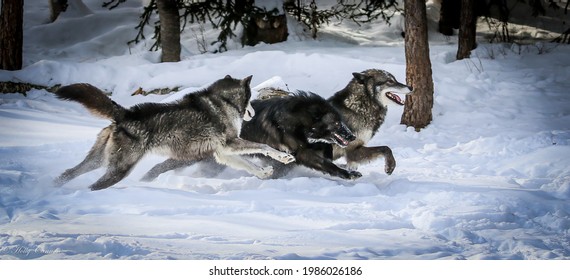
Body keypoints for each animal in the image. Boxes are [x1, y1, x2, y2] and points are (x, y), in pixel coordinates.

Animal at [53, 75, 296, 191]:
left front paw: (263, 172)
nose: (253, 113)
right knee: (92, 186)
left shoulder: (222, 152)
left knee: (66, 174)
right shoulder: (230, 144)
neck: (223, 101)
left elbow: (249, 164)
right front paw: (283, 157)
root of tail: (124, 113)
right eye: (251, 98)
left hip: (98, 162)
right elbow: (264, 147)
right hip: (119, 169)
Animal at [140, 91, 358, 180]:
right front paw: (347, 174)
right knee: (161, 166)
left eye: (342, 121)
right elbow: (326, 163)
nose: (352, 136)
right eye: (336, 123)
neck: (297, 119)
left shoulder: (304, 147)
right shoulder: (302, 153)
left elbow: (326, 148)